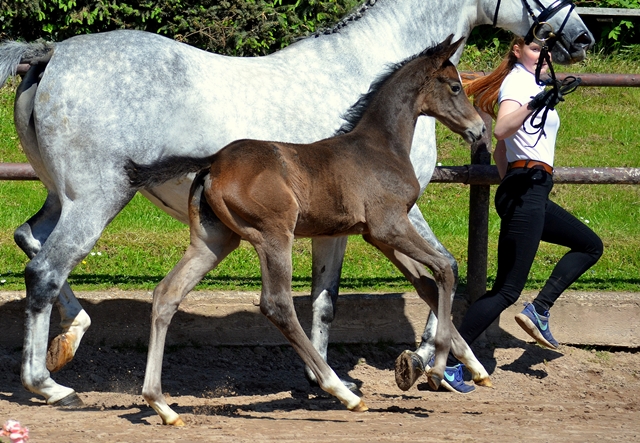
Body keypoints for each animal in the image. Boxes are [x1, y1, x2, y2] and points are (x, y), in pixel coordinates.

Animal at [0, 0, 592, 410]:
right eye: (451, 85)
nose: (581, 37)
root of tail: (50, 55)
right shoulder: (394, 217)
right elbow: (438, 272)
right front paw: (437, 363)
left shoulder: (344, 227)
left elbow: (332, 300)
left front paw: (340, 374)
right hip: (97, 199)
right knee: (46, 269)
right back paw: (50, 385)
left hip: (67, 196)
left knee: (31, 241)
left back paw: (71, 342)